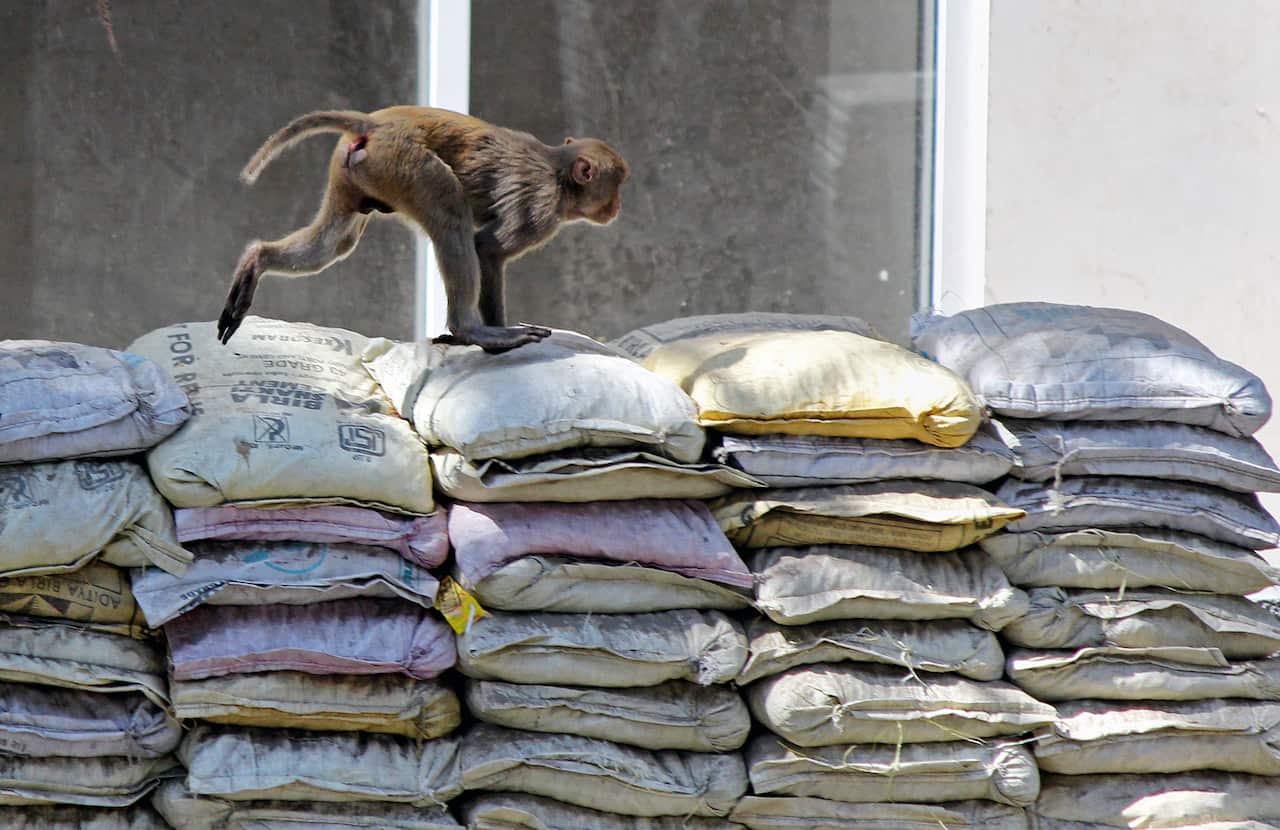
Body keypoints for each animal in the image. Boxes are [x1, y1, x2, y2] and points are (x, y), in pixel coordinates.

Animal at [217, 106, 630, 353]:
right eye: (617, 184)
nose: (618, 206)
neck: (558, 172)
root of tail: (376, 123)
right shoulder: (542, 208)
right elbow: (488, 248)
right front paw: (498, 332)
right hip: (409, 165)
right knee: (451, 217)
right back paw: (468, 329)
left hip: (358, 171)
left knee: (335, 241)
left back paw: (257, 260)